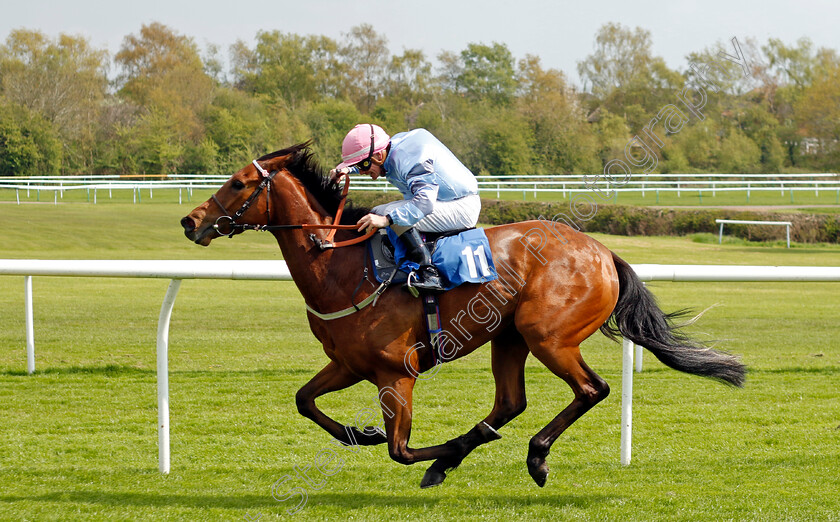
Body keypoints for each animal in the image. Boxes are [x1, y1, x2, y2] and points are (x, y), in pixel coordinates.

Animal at [180, 143, 744, 488]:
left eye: (238, 183)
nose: (190, 221)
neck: (341, 266)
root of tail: (603, 252)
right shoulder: (348, 364)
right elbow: (304, 400)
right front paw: (362, 433)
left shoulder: (396, 372)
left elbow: (401, 450)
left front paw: (436, 454)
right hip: (509, 337)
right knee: (511, 402)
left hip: (548, 336)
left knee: (592, 389)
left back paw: (534, 455)